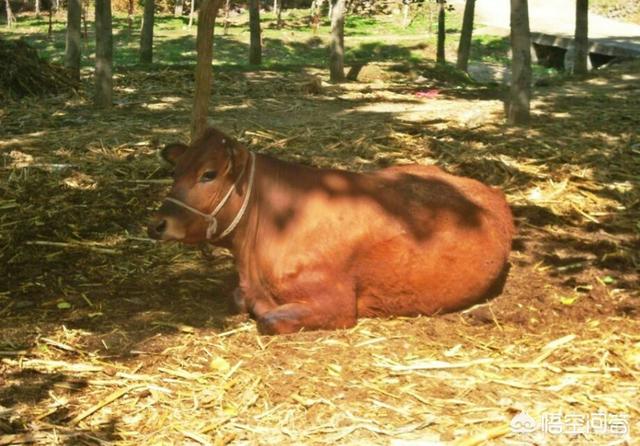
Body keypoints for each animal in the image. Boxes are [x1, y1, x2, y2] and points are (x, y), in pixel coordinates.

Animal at [148, 127, 512, 332]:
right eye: (176, 170)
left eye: (208, 174)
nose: (157, 223)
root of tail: (490, 191)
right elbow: (238, 298)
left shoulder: (336, 304)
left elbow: (268, 317)